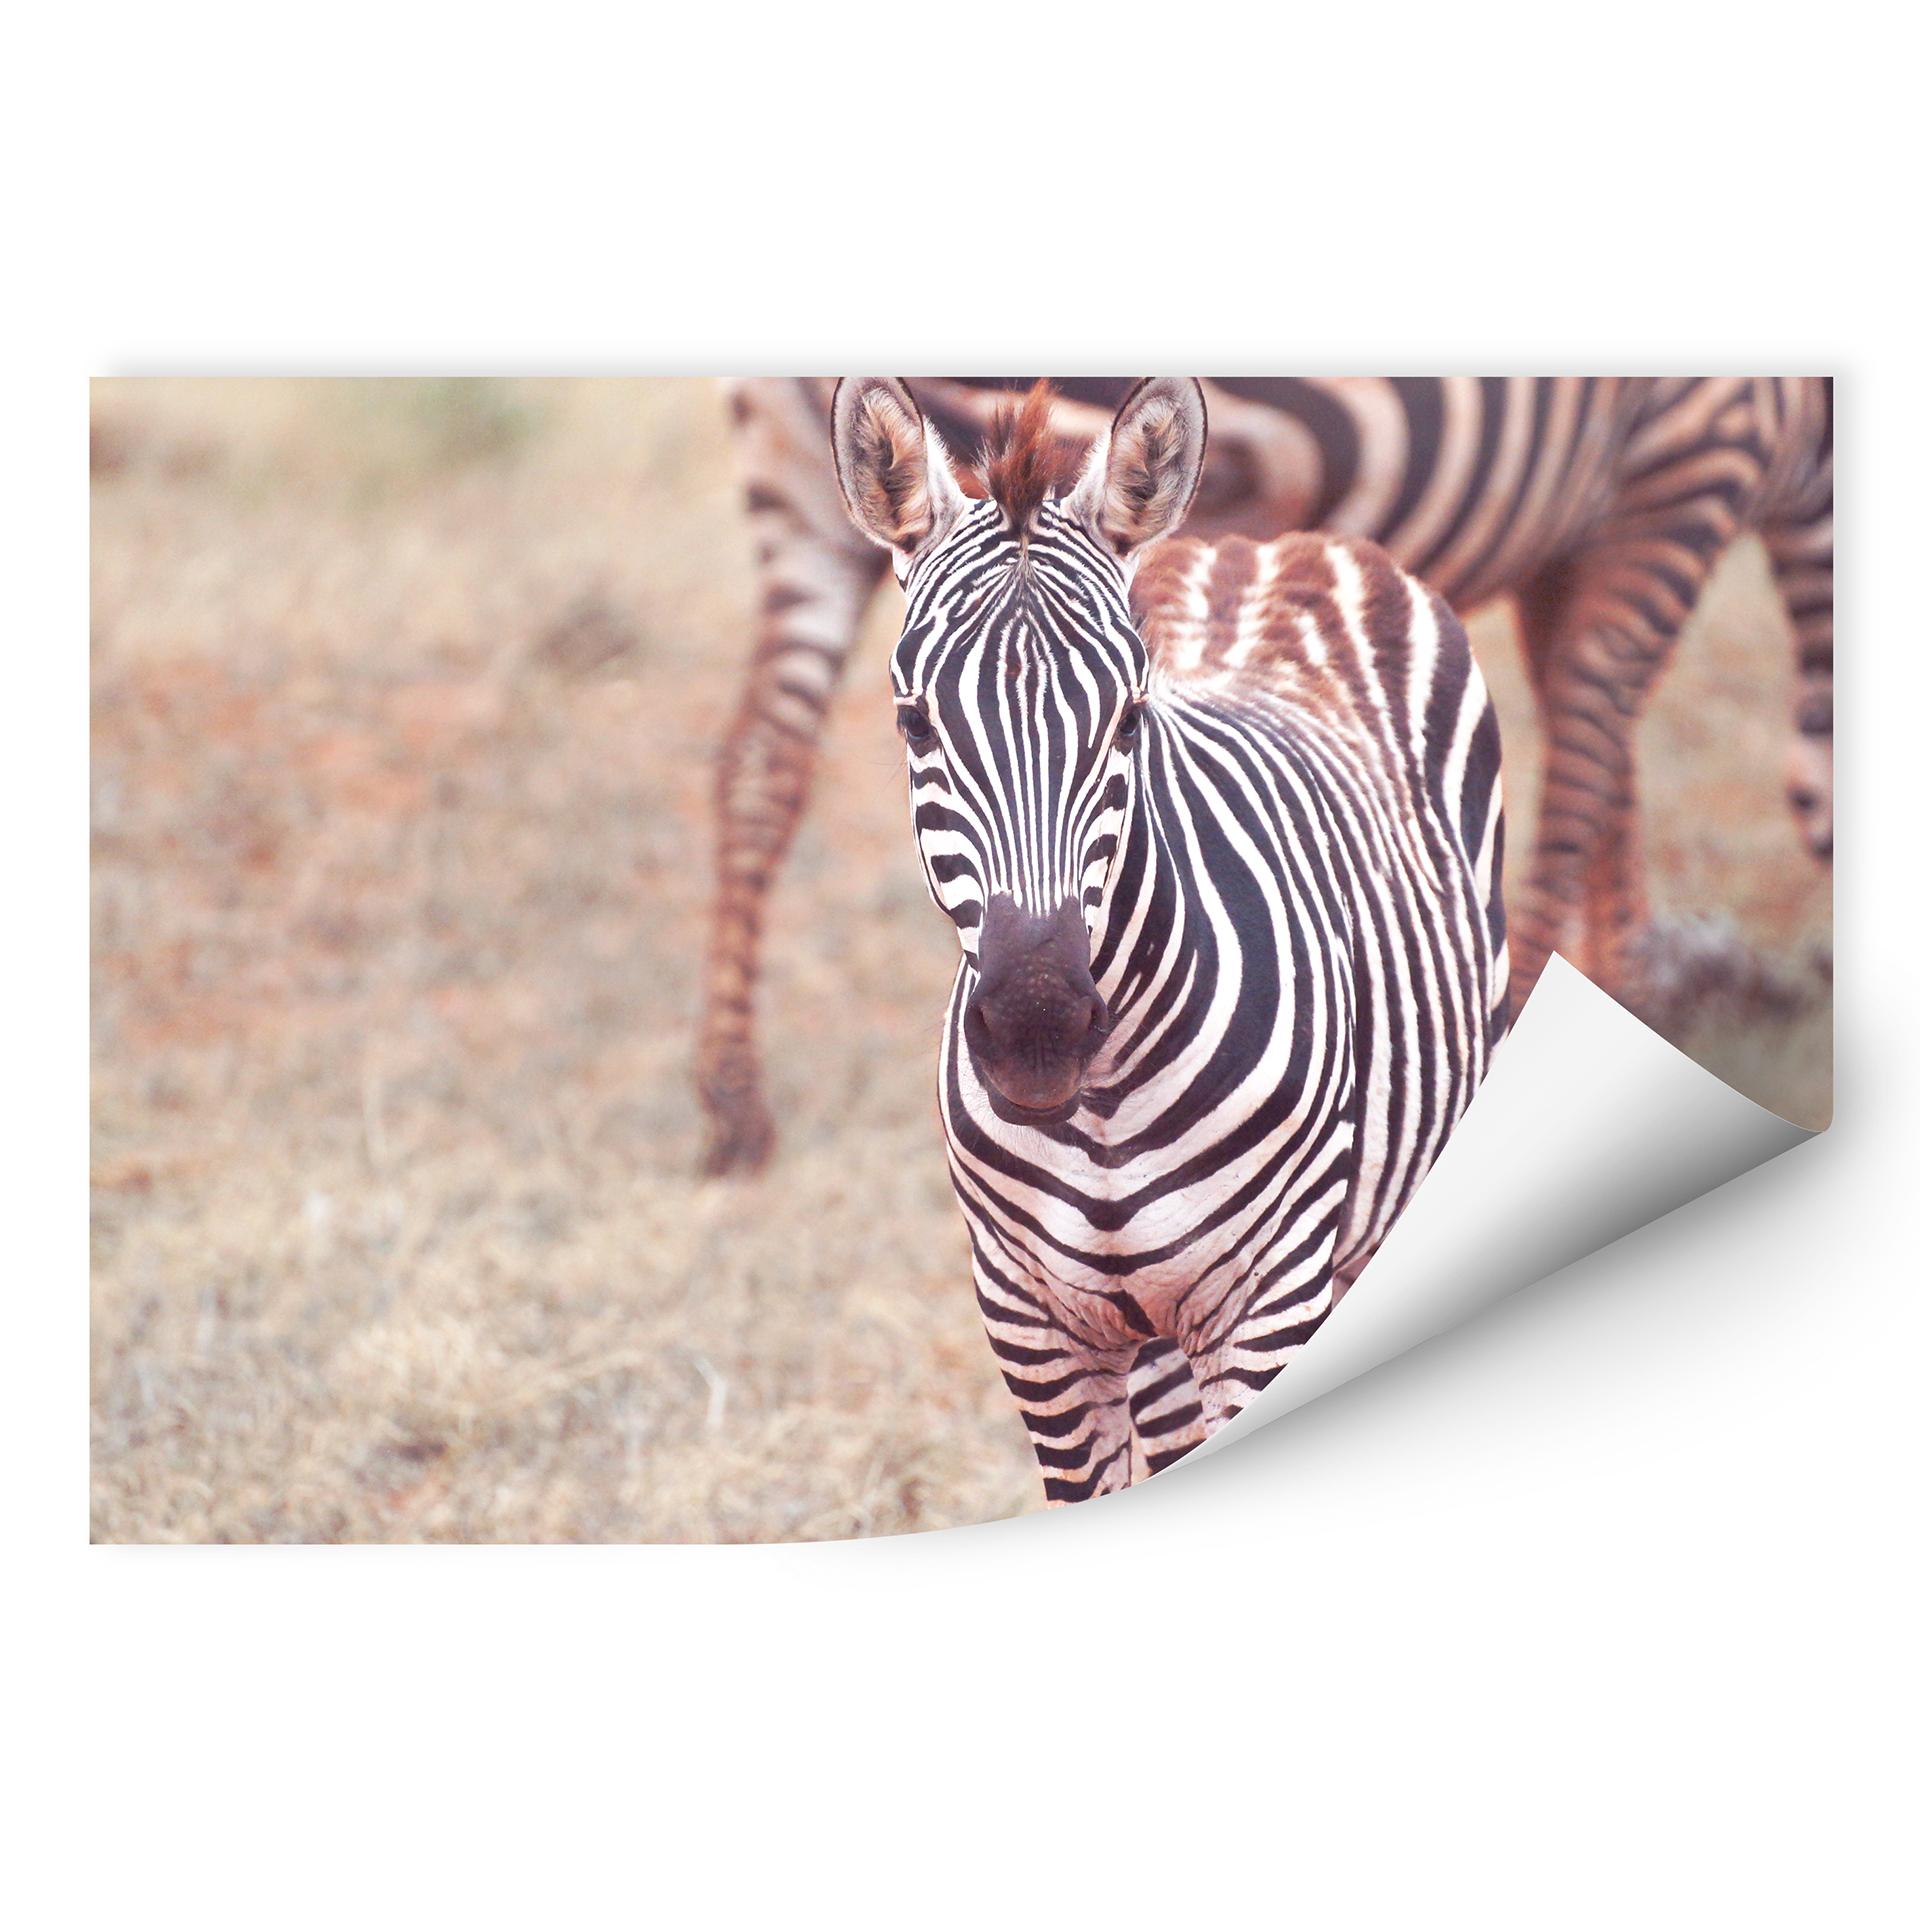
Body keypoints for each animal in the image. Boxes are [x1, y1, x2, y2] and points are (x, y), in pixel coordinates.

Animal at [701, 374, 1831, 1175]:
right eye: (914, 719)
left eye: (1133, 716)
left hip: (799, 494)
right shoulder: (1686, 465)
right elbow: (1595, 746)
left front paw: (1631, 985)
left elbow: (1597, 750)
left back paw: (733, 1108)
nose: (1034, 1029)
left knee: (759, 762)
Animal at [828, 377, 1509, 1500]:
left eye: (1131, 717)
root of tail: (1268, 542)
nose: (1038, 1029)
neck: (1101, 1100)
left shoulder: (1267, 1302)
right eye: (914, 723)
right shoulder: (1035, 1326)